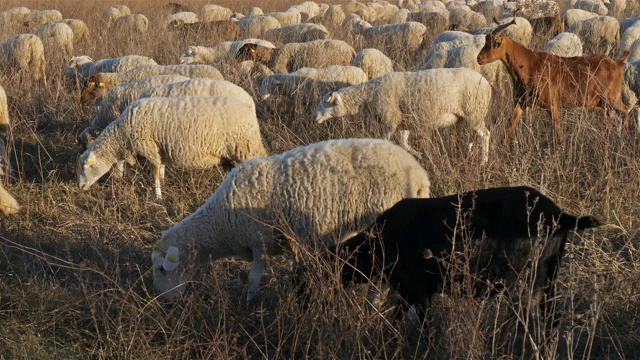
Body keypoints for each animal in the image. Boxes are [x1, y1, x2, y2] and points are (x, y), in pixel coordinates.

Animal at [77, 95, 268, 200]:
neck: (123, 133)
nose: (79, 187)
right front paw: (158, 184)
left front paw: (158, 197)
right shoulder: (158, 149)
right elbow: (157, 170)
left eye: (85, 167)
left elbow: (154, 174)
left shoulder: (149, 147)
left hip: (246, 147)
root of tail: (249, 110)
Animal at [150, 138, 430, 300]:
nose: (166, 302)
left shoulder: (259, 241)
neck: (221, 223)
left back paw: (373, 304)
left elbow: (253, 279)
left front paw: (248, 304)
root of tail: (419, 176)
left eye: (162, 269)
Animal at [312, 68, 492, 163]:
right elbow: (404, 144)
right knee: (471, 136)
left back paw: (483, 161)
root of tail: (486, 83)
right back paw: (467, 155)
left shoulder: (391, 119)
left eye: (326, 103)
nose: (314, 117)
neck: (369, 95)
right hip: (467, 117)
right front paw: (419, 156)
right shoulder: (403, 123)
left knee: (485, 135)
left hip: (474, 112)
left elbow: (386, 141)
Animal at [332, 187, 604, 324]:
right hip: (548, 277)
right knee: (551, 318)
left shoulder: (419, 293)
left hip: (523, 281)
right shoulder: (406, 294)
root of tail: (560, 215)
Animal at [478, 17, 628, 142]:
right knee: (607, 118)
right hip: (598, 102)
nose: (479, 58)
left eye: (494, 43)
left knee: (625, 110)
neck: (530, 65)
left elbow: (558, 131)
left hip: (612, 97)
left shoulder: (552, 105)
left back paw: (623, 137)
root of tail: (618, 62)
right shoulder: (520, 103)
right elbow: (508, 128)